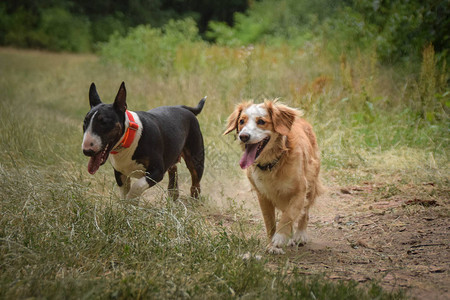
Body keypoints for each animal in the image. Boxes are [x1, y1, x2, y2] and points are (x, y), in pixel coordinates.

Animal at [223, 100, 322, 253]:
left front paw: (280, 237)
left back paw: (300, 235)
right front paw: (272, 245)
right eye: (241, 121)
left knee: (304, 213)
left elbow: (289, 215)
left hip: (311, 183)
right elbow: (269, 222)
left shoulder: (300, 192)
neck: (272, 164)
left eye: (261, 121)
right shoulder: (263, 196)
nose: (243, 136)